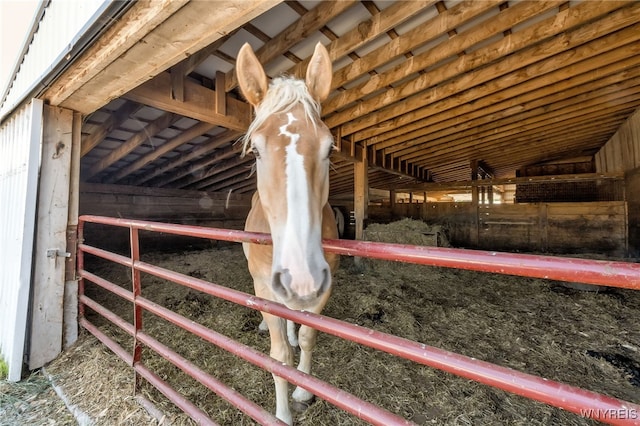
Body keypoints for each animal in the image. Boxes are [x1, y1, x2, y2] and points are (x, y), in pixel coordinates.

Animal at [236, 41, 340, 424]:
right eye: (255, 149)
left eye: (329, 147)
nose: (301, 277)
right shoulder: (265, 286)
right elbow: (279, 357)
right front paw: (282, 414)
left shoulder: (325, 286)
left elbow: (308, 337)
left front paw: (303, 391)